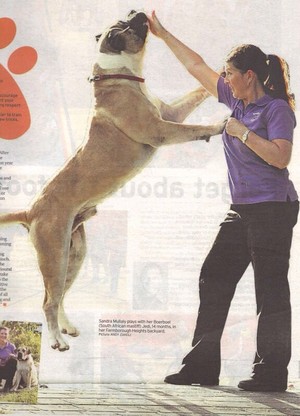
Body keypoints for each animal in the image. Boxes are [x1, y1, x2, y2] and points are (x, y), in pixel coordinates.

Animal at [0, 9, 225, 352]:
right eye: (127, 25)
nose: (139, 12)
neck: (120, 73)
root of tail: (31, 210)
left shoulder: (171, 114)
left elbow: (195, 94)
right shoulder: (163, 130)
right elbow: (194, 129)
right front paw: (222, 125)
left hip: (74, 256)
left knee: (59, 296)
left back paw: (67, 327)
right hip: (55, 256)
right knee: (48, 301)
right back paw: (56, 340)